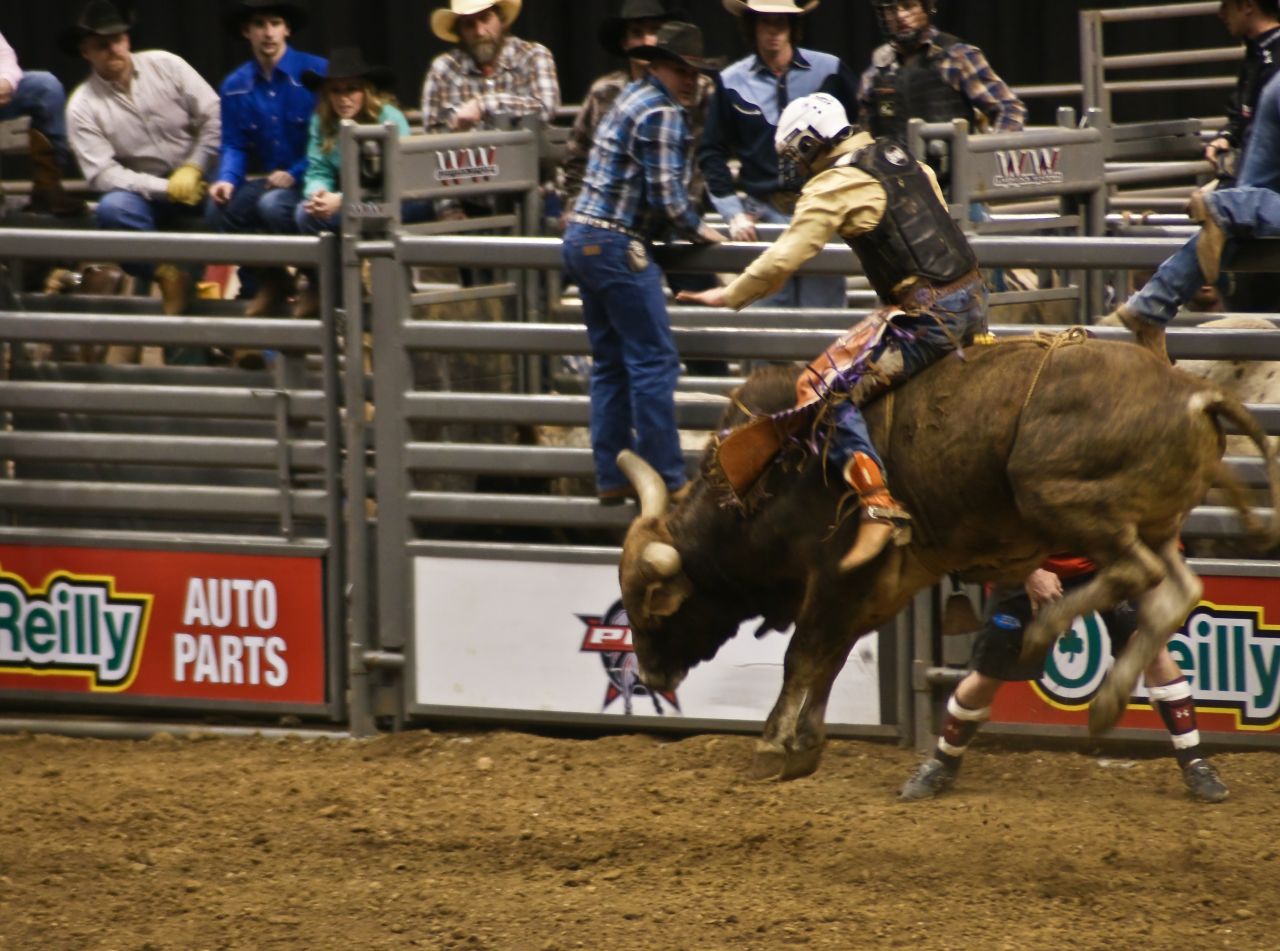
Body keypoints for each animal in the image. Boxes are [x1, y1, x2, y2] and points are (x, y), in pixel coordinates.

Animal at [614, 332, 1274, 783]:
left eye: (652, 612)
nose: (650, 678)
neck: (765, 480)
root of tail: (1196, 394)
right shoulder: (876, 588)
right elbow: (829, 658)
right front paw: (806, 743)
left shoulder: (838, 575)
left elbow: (803, 655)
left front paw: (773, 744)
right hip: (1158, 522)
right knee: (1175, 590)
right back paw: (1107, 701)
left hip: (1058, 494)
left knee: (1140, 572)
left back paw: (1048, 630)